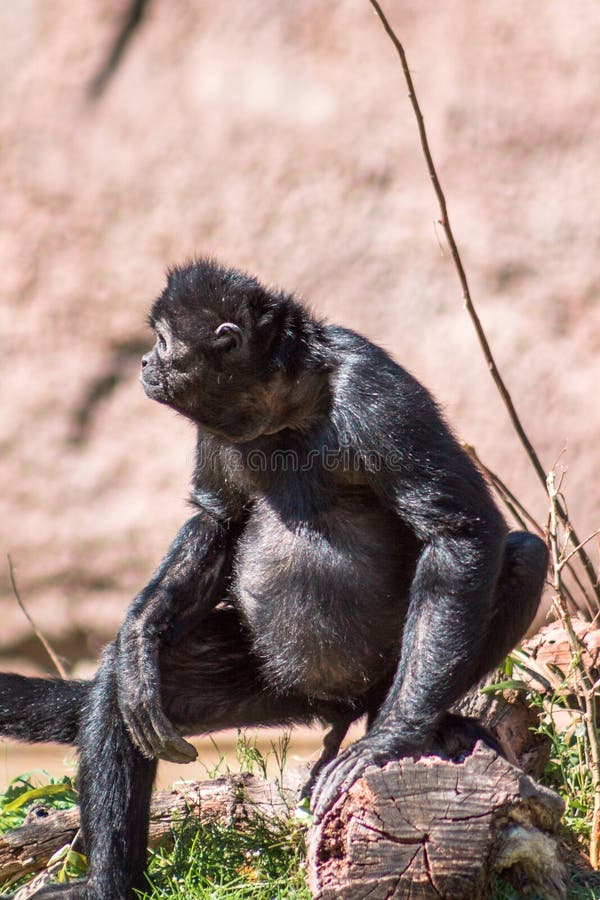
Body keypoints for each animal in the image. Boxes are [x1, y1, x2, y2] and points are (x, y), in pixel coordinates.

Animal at [0, 256, 548, 896]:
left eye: (161, 341)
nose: (143, 363)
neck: (284, 409)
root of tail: (334, 704)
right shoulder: (225, 427)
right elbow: (219, 518)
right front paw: (140, 631)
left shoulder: (374, 389)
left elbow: (457, 531)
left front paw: (392, 741)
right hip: (270, 678)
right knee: (122, 687)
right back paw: (112, 882)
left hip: (380, 673)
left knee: (524, 552)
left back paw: (415, 724)